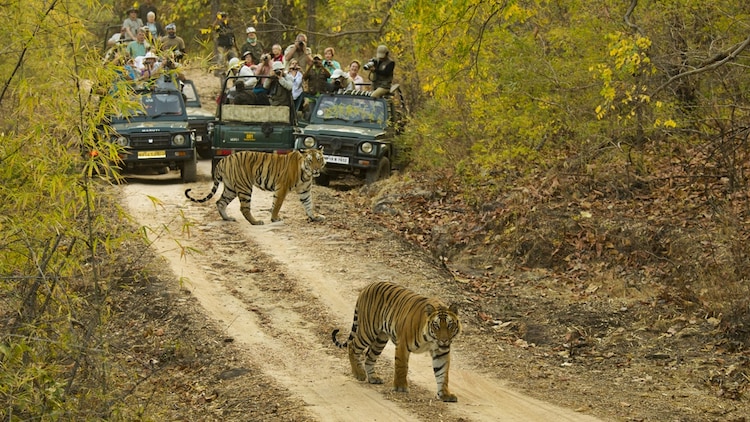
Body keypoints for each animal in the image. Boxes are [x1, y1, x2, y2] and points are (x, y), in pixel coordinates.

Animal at [184, 148, 325, 225]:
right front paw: (275, 218)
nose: (316, 170)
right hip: (245, 187)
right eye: (310, 161)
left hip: (230, 188)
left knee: (220, 202)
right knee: (244, 208)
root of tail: (223, 160)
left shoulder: (304, 190)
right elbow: (277, 204)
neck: (306, 174)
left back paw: (227, 218)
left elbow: (308, 204)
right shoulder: (282, 187)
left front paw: (315, 217)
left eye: (319, 159)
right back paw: (256, 222)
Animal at [332, 281, 461, 402]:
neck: (430, 340)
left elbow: (443, 374)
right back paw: (359, 373)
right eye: (436, 325)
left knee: (369, 356)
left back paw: (373, 378)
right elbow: (401, 366)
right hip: (368, 331)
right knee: (352, 346)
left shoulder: (441, 353)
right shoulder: (403, 345)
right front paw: (401, 387)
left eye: (450, 325)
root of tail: (367, 286)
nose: (444, 340)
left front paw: (445, 394)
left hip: (380, 339)